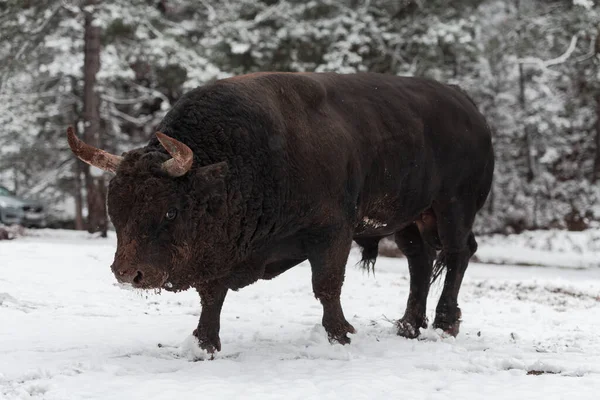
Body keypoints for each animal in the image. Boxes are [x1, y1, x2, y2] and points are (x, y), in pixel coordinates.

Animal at [68, 72, 494, 354]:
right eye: (115, 211)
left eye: (170, 211)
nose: (129, 274)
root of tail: (469, 108)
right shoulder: (224, 253)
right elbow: (212, 295)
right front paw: (205, 342)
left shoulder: (332, 232)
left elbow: (326, 285)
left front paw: (340, 334)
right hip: (409, 219)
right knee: (419, 262)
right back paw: (408, 325)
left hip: (453, 207)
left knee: (457, 254)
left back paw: (444, 322)